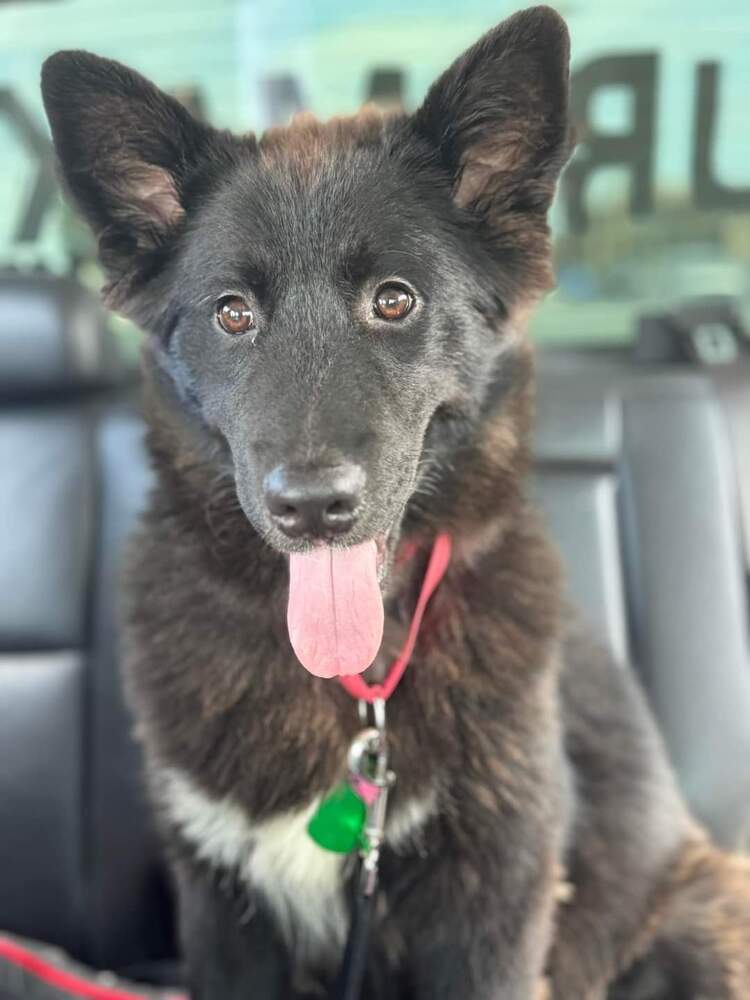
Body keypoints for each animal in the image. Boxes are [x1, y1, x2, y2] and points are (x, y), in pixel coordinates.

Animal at [39, 7, 750, 1000]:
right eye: (232, 313)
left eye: (394, 300)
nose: (311, 508)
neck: (354, 687)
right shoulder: (224, 916)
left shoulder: (492, 912)